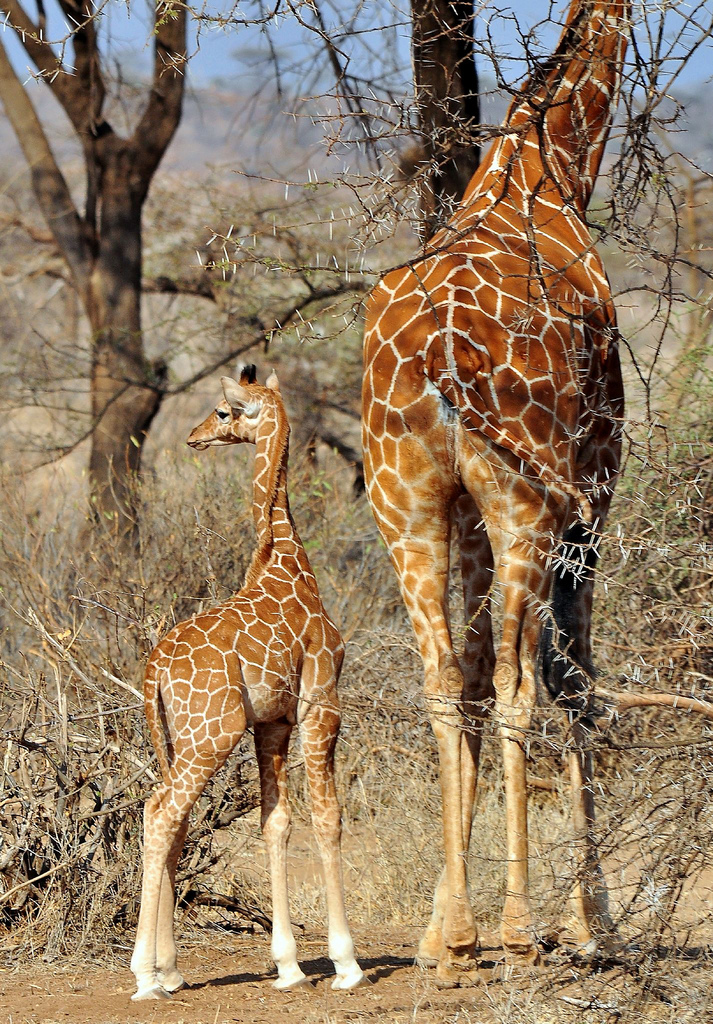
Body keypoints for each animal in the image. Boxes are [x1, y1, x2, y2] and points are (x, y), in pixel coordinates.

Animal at [130, 366, 364, 999]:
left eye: (223, 412)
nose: (194, 436)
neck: (286, 559)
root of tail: (152, 669)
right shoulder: (321, 703)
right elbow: (328, 817)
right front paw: (346, 963)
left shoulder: (272, 721)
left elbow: (276, 822)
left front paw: (287, 965)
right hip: (211, 734)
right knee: (160, 813)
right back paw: (143, 974)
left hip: (178, 738)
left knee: (172, 816)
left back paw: (170, 970)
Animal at [362, 0, 631, 987]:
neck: (551, 168)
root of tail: (441, 346)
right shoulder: (590, 490)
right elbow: (573, 683)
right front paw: (591, 923)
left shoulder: (471, 518)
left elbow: (472, 677)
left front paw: (441, 925)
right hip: (522, 504)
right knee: (523, 686)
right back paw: (516, 927)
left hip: (403, 501)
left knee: (445, 679)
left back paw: (463, 937)